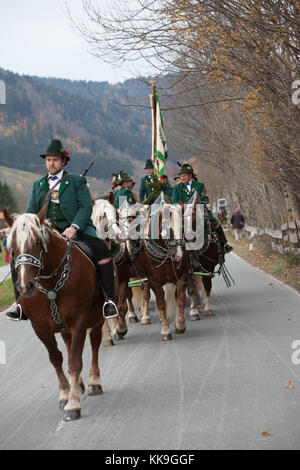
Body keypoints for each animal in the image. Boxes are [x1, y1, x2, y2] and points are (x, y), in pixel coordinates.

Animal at [3, 209, 105, 422]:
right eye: (13, 246)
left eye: (36, 242)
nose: (25, 287)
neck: (50, 282)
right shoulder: (40, 327)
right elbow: (56, 359)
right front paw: (65, 394)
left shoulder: (79, 322)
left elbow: (74, 362)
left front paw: (72, 405)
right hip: (64, 327)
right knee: (68, 344)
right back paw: (79, 384)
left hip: (97, 319)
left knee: (94, 344)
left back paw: (94, 382)